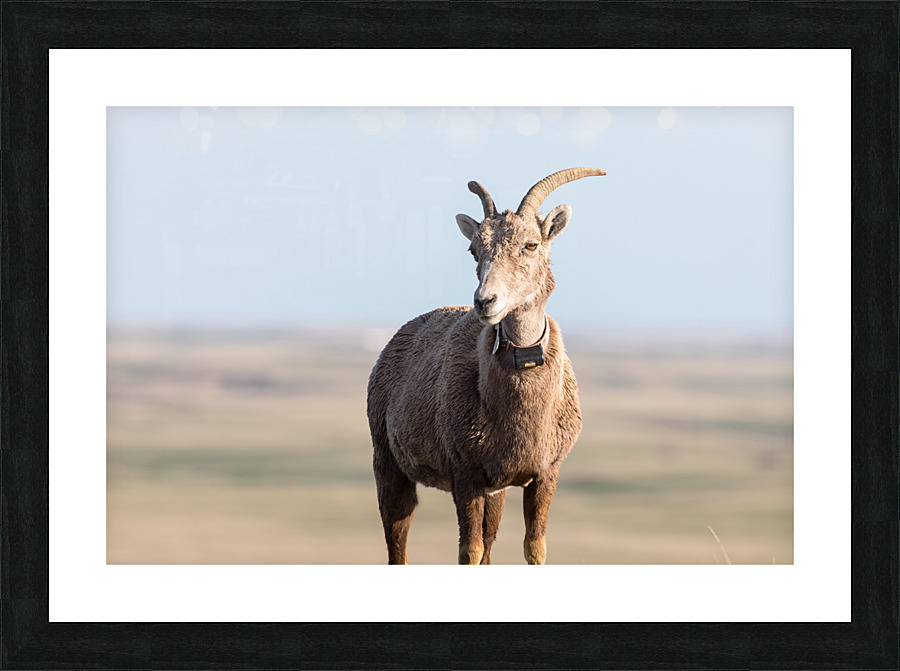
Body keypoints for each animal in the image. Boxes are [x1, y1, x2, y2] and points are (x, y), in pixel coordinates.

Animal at [367, 167, 606, 565]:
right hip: (388, 465)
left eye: (530, 245)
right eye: (474, 249)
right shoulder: (465, 475)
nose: (485, 301)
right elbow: (470, 550)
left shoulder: (543, 475)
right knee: (397, 541)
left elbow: (533, 548)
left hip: (496, 490)